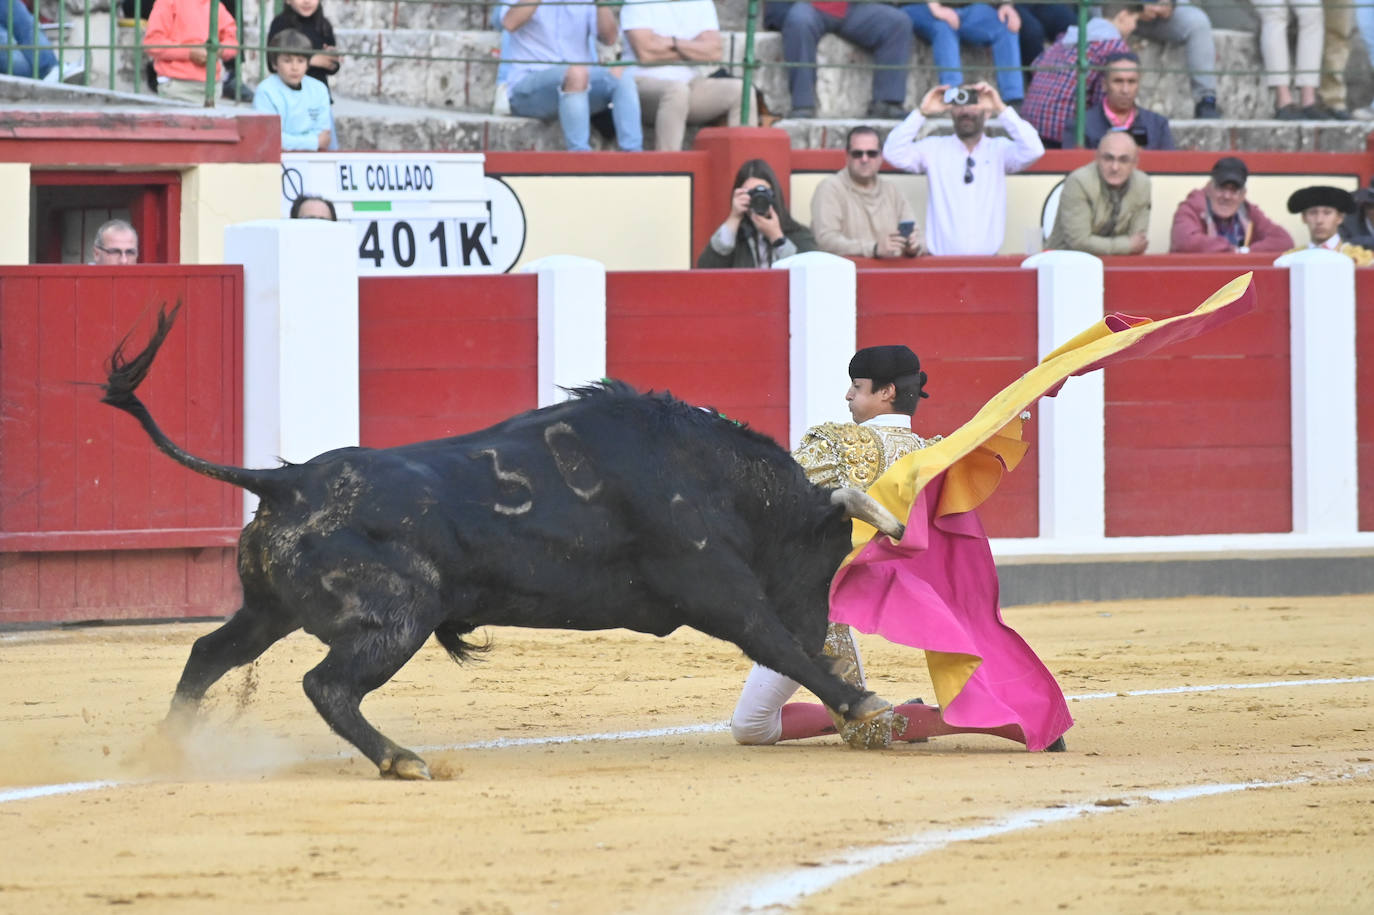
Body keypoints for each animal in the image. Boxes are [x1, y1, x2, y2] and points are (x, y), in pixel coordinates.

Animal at [104, 307, 901, 774]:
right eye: (828, 556)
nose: (826, 631)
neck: (709, 473)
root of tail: (286, 481)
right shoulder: (717, 587)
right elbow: (773, 640)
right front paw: (861, 700)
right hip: (399, 615)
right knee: (325, 683)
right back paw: (401, 760)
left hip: (270, 608)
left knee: (210, 652)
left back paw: (168, 750)